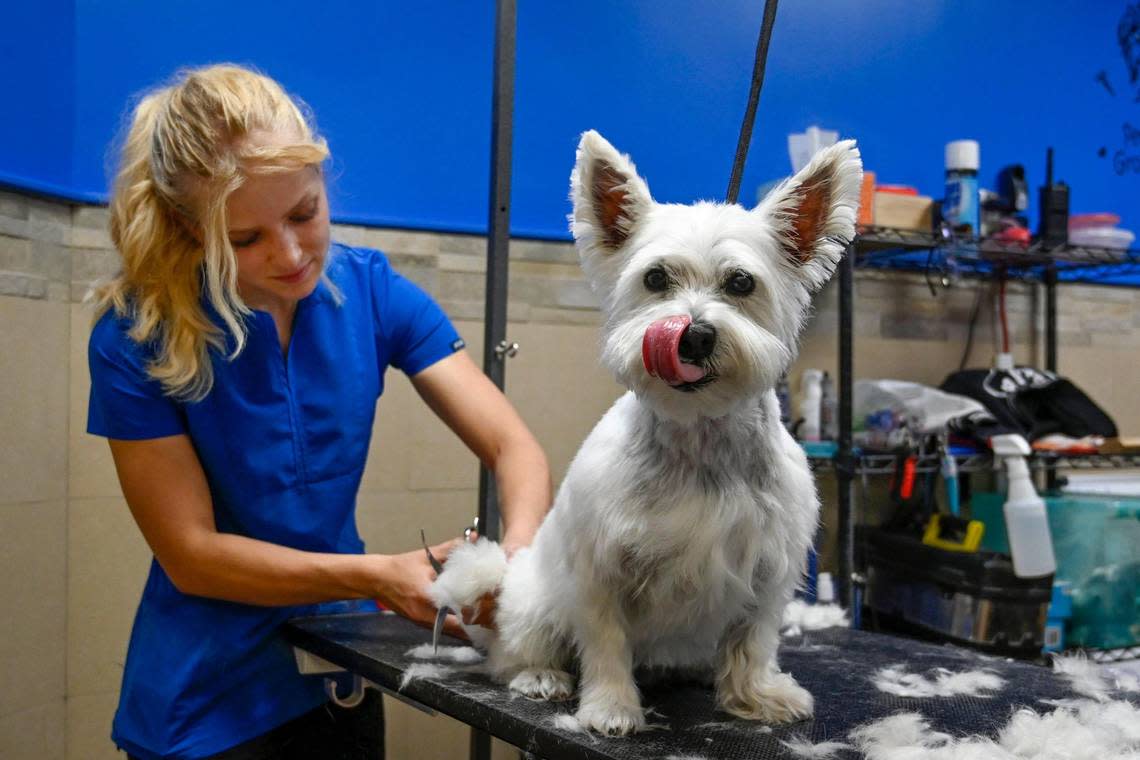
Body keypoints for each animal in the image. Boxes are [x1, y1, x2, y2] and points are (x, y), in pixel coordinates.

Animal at [430, 132, 857, 738]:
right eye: (656, 279)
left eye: (741, 282)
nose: (695, 336)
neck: (701, 437)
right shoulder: (601, 571)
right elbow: (606, 642)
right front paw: (610, 707)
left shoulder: (767, 571)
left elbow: (751, 642)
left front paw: (755, 696)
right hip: (534, 605)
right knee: (515, 653)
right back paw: (540, 676)